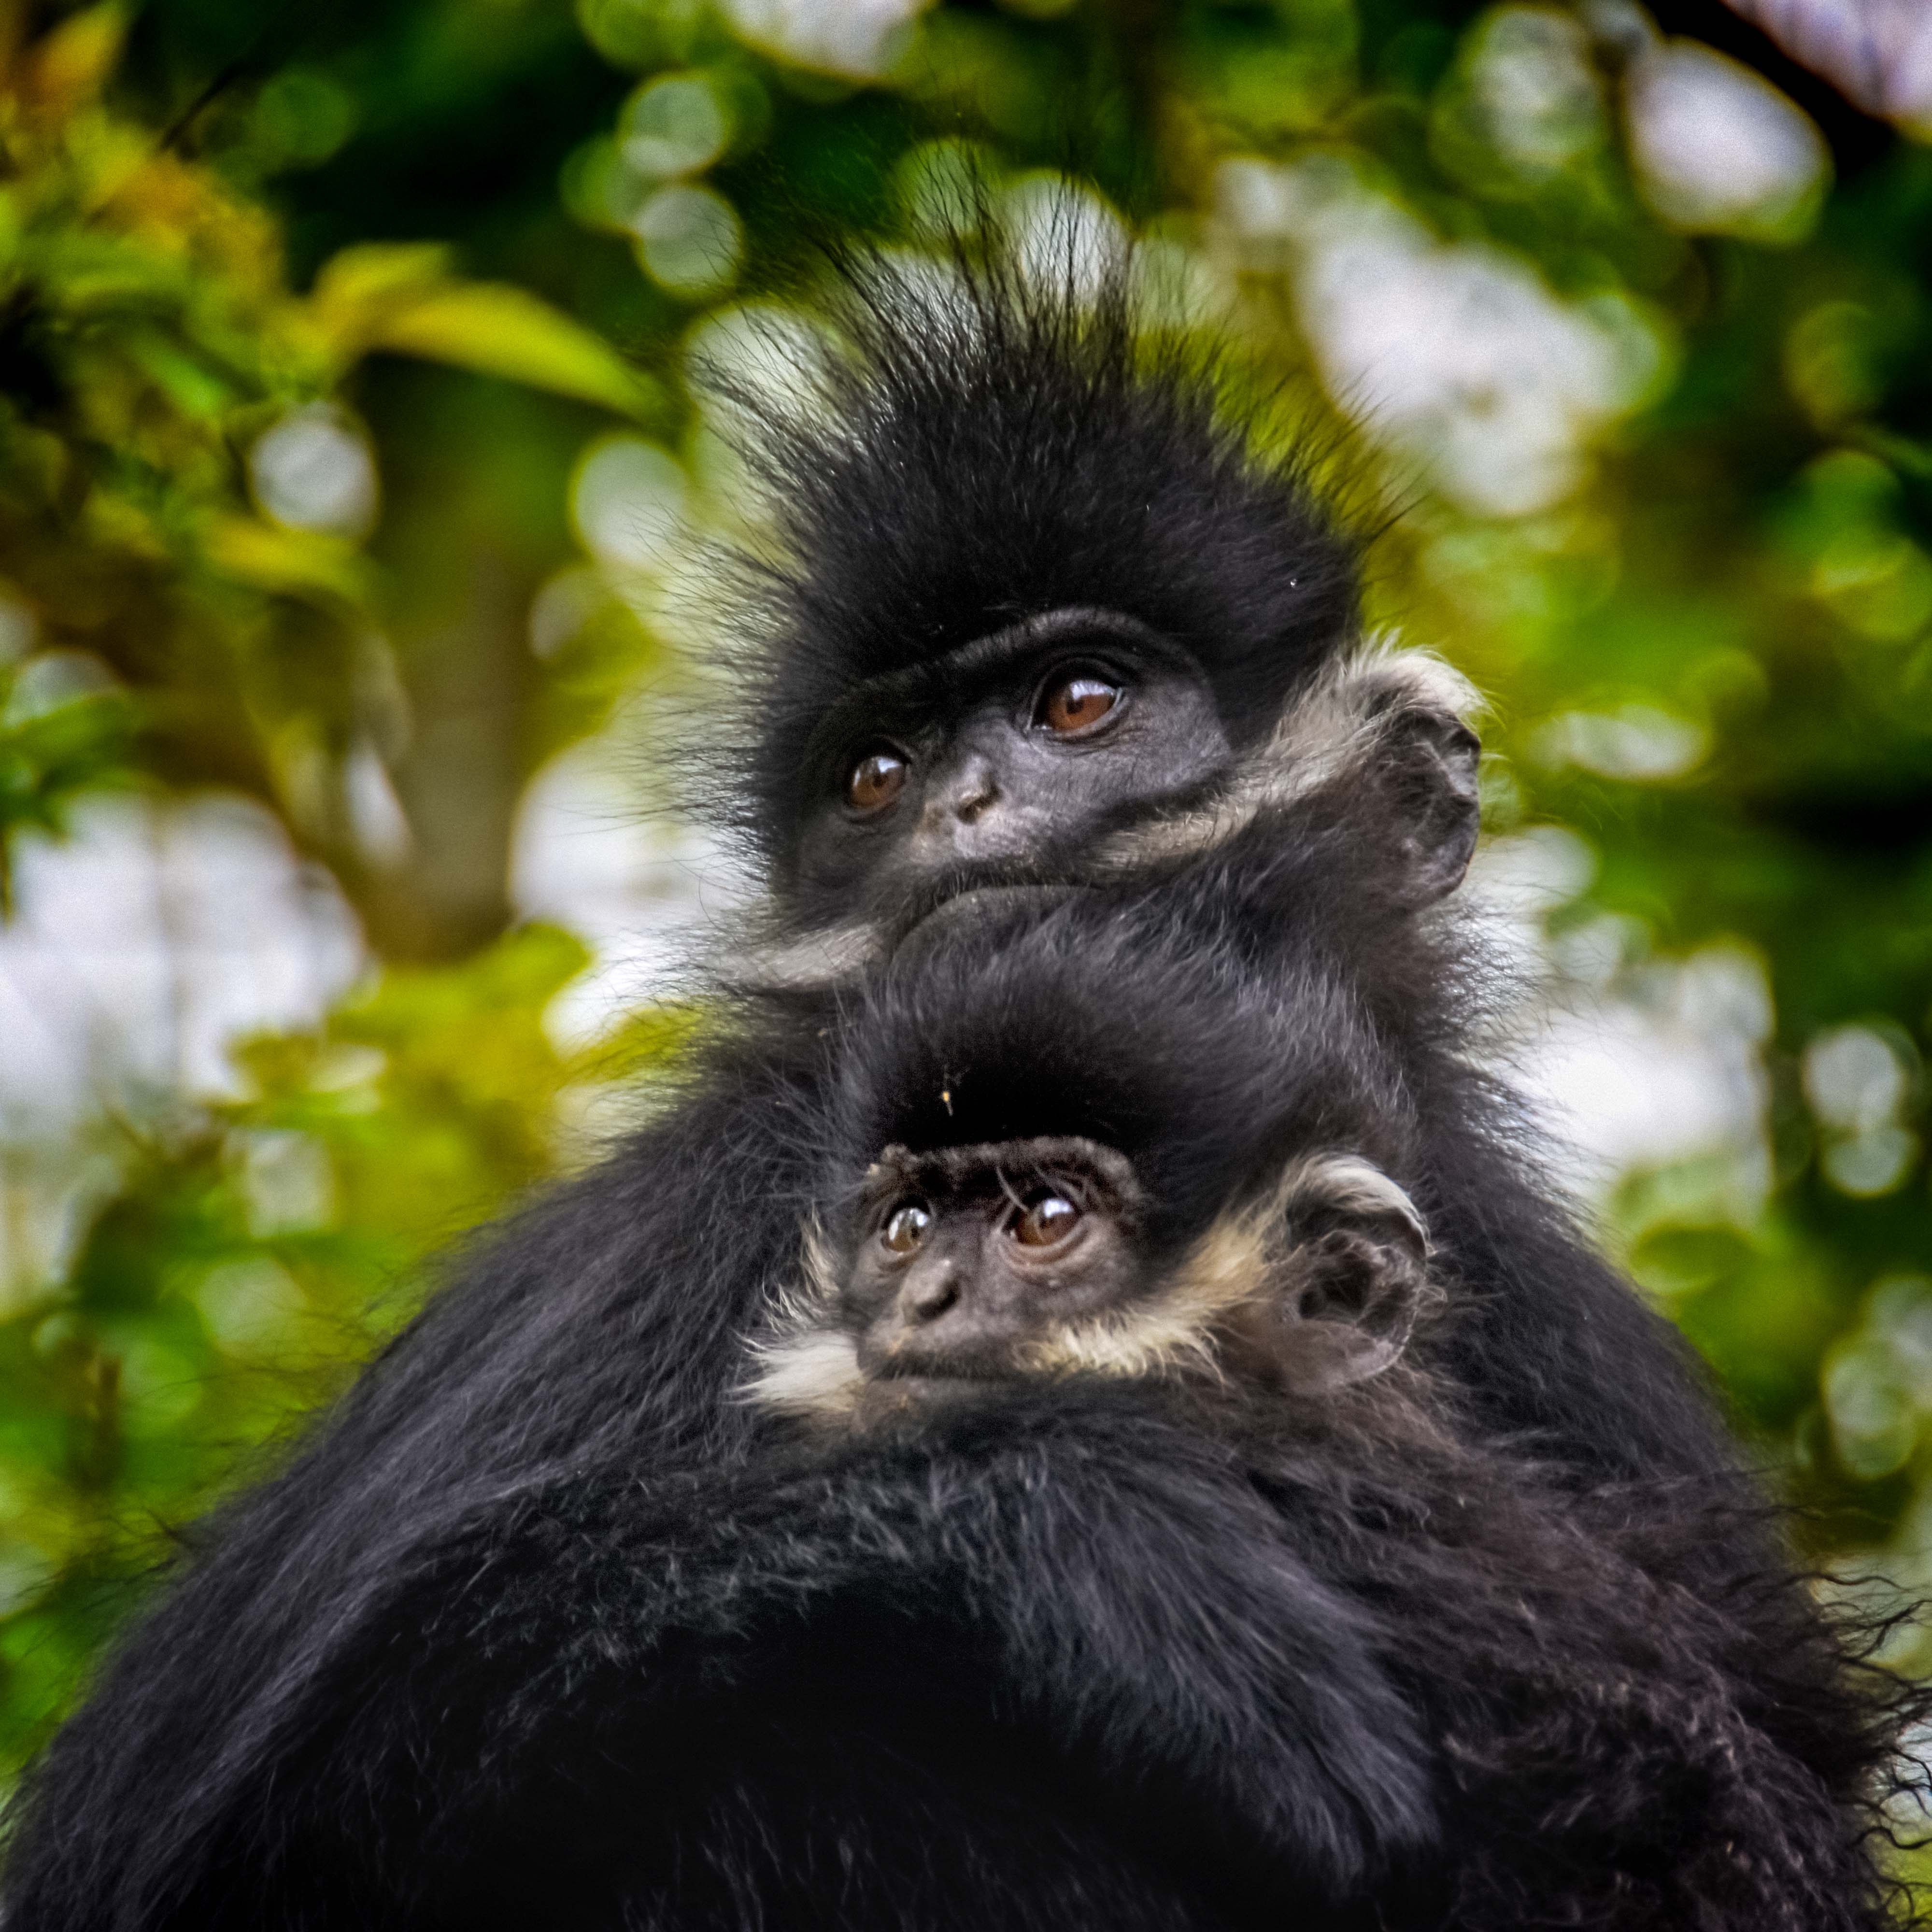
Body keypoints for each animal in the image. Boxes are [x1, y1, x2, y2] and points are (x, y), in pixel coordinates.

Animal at [3, 245, 1901, 1932]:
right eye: (873, 773)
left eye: (1078, 701)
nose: (953, 809)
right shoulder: (689, 1224)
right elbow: (203, 1851)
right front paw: (1081, 1534)